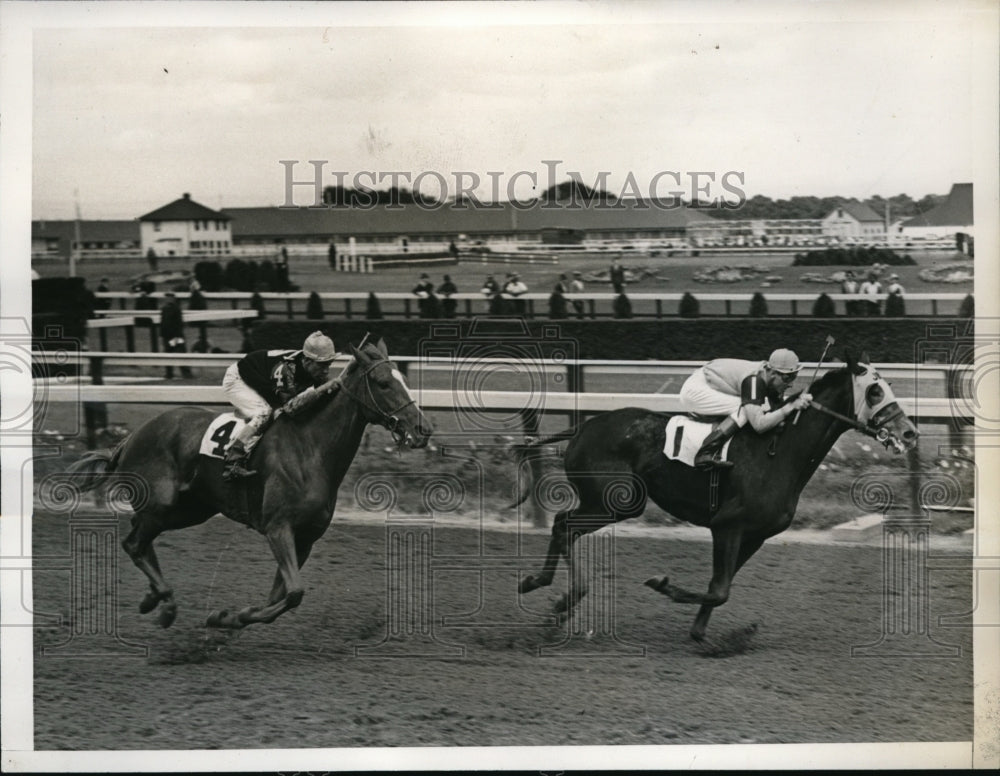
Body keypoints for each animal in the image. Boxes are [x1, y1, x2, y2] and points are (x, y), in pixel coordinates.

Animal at [65, 340, 434, 632]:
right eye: (383, 382)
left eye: (403, 380)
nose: (423, 429)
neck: (311, 449)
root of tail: (131, 438)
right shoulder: (278, 527)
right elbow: (294, 592)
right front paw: (227, 617)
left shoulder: (305, 538)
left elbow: (282, 595)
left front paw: (229, 617)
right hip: (162, 503)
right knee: (134, 543)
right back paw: (165, 604)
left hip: (189, 510)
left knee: (139, 539)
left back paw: (152, 599)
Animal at [516, 354, 920, 644]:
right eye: (874, 391)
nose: (910, 432)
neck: (779, 453)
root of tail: (584, 425)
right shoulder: (728, 525)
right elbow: (720, 590)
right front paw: (663, 585)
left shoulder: (754, 535)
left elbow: (718, 588)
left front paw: (701, 634)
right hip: (618, 500)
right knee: (563, 526)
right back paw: (557, 593)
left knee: (562, 526)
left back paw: (550, 593)